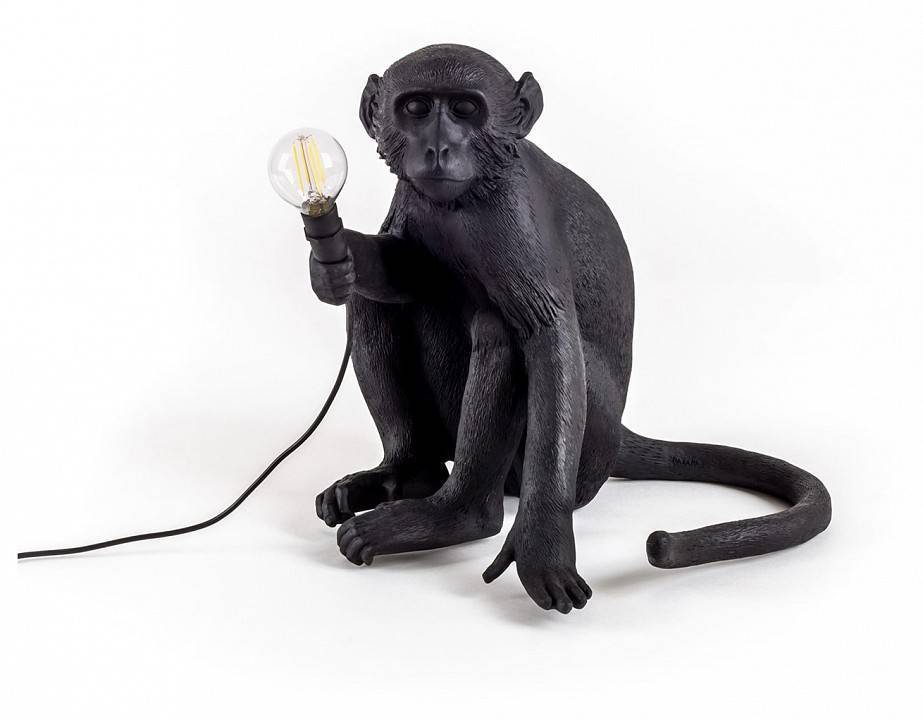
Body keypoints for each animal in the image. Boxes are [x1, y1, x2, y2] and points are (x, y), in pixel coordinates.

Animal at [303, 44, 831, 613]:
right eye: (417, 108)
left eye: (466, 110)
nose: (439, 148)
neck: (467, 195)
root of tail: (618, 433)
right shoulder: (415, 197)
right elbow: (403, 270)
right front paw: (337, 259)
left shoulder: (514, 213)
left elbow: (546, 334)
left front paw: (542, 545)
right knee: (379, 303)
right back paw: (408, 473)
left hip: (587, 449)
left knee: (501, 329)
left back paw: (459, 515)